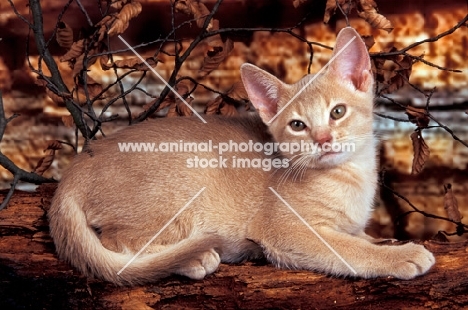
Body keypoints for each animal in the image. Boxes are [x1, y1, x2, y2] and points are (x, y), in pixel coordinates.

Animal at [48, 27, 436, 284]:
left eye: (337, 112)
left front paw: (381, 241)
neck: (352, 176)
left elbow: (358, 237)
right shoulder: (286, 229)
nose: (323, 140)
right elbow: (348, 249)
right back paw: (193, 258)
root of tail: (74, 169)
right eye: (298, 125)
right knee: (117, 243)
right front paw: (400, 254)